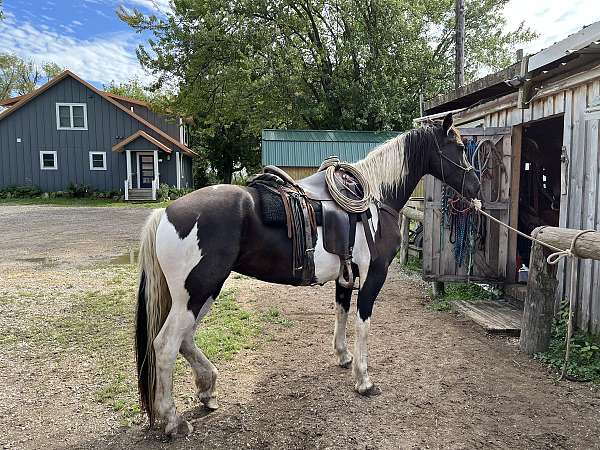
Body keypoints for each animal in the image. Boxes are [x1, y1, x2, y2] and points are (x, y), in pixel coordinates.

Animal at [135, 112, 478, 436]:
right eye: (460, 147)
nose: (476, 186)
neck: (376, 200)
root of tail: (166, 213)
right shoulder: (374, 275)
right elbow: (362, 322)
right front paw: (364, 380)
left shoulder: (345, 276)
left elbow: (341, 313)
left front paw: (343, 356)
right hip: (197, 292)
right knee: (166, 345)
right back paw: (172, 419)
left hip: (204, 291)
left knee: (184, 339)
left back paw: (207, 389)